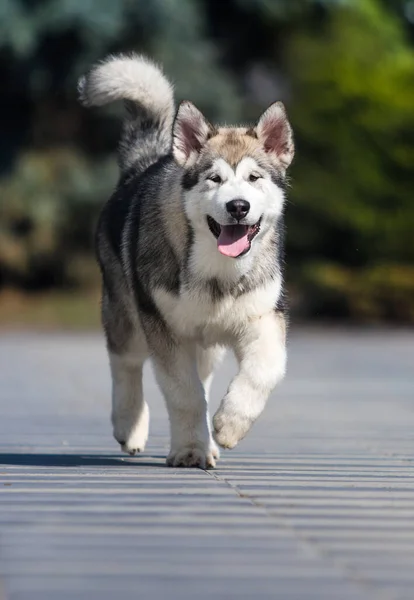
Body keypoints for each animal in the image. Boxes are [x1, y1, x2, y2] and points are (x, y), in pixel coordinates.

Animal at [78, 54, 294, 468]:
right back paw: (129, 424)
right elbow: (185, 393)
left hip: (207, 344)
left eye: (254, 178)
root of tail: (144, 164)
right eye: (214, 179)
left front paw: (229, 425)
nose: (238, 206)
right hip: (126, 312)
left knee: (203, 376)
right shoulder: (165, 329)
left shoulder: (262, 318)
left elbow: (264, 371)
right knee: (125, 363)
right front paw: (191, 450)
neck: (218, 273)